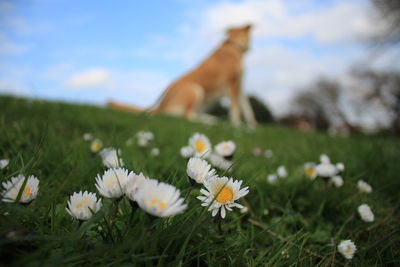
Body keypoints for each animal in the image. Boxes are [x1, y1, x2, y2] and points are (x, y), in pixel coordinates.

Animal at [108, 24, 256, 127]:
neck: (234, 47)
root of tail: (161, 106)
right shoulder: (232, 84)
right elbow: (236, 109)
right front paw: (237, 125)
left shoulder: (240, 86)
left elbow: (248, 109)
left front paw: (253, 126)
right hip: (194, 89)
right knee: (187, 116)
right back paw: (210, 121)